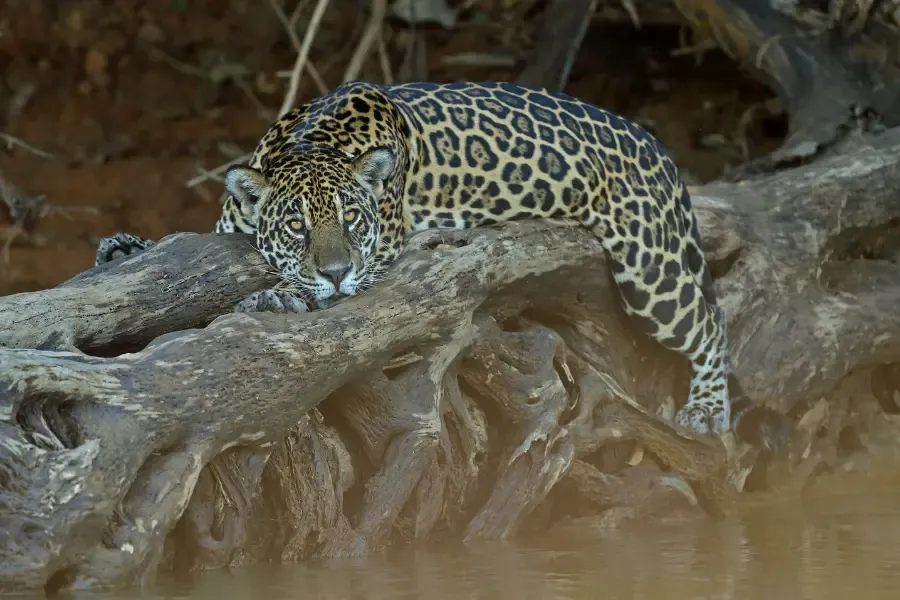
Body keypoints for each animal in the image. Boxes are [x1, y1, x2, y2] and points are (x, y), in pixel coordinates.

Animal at [96, 80, 792, 452]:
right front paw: (126, 247)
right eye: (297, 226)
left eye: (352, 221)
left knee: (709, 323)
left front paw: (279, 297)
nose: (334, 270)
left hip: (652, 269)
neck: (315, 138)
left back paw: (708, 408)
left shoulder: (382, 255)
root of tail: (658, 146)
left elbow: (327, 293)